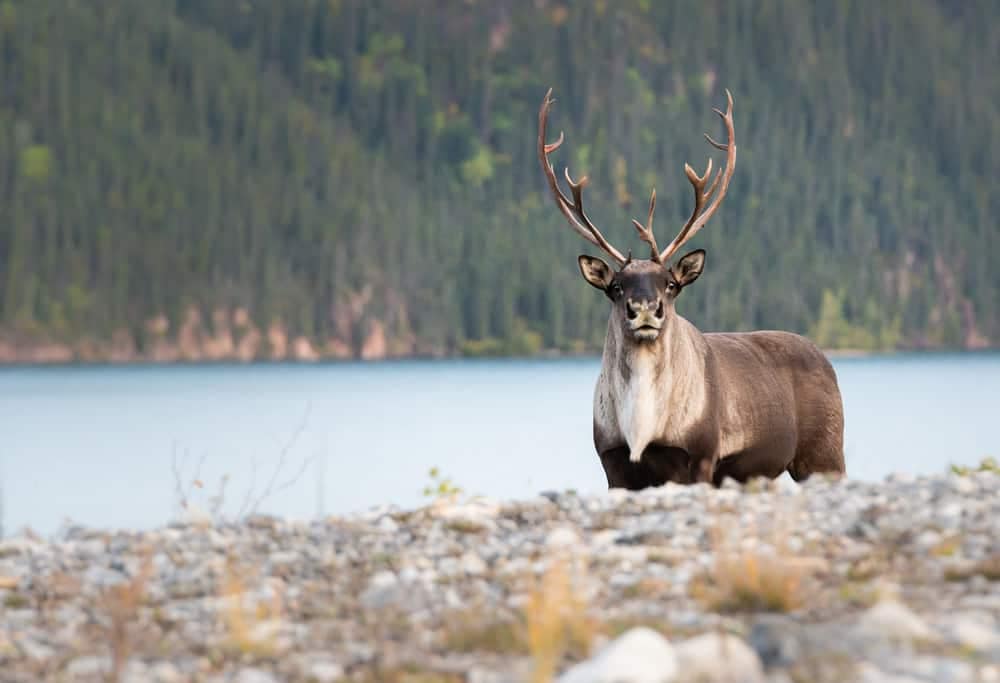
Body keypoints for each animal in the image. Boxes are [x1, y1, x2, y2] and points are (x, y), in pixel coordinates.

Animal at [538, 87, 845, 490]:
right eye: (616, 287)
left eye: (671, 284)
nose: (645, 308)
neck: (641, 426)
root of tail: (825, 358)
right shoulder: (613, 463)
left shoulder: (699, 457)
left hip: (825, 454)